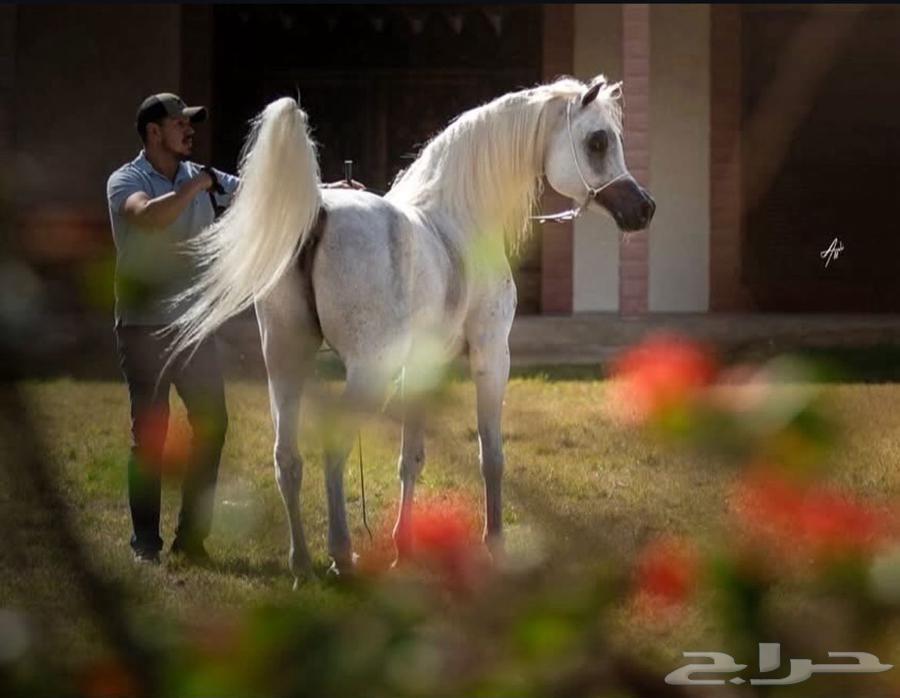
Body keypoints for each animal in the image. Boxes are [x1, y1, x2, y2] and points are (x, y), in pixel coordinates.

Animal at [165, 74, 655, 585]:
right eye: (597, 141)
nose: (644, 209)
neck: (457, 220)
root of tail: (316, 212)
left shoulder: (423, 367)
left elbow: (411, 458)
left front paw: (405, 548)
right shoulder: (491, 357)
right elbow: (491, 457)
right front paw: (495, 546)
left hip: (285, 361)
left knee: (287, 459)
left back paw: (302, 564)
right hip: (366, 373)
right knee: (333, 448)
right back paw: (342, 555)